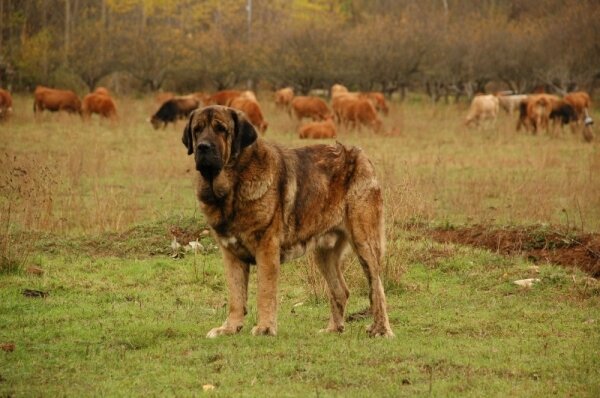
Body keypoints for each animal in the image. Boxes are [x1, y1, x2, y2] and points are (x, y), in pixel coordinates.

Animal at [180, 106, 394, 338]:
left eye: (221, 129)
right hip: (325, 253)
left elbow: (265, 292)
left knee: (377, 288)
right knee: (340, 291)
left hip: (364, 242)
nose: (202, 147)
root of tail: (360, 155)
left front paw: (264, 328)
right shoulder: (231, 254)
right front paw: (229, 328)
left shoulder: (266, 249)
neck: (233, 186)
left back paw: (381, 330)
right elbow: (235, 295)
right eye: (197, 130)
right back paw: (333, 329)